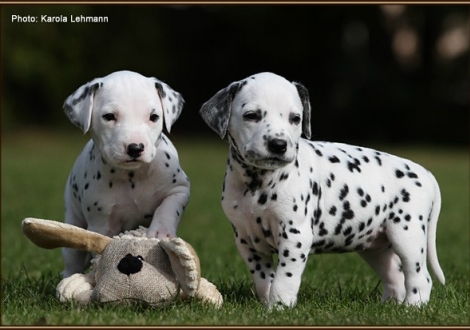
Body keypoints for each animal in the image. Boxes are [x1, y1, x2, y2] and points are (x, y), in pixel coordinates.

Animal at [61, 70, 190, 278]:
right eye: (109, 116)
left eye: (154, 117)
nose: (135, 147)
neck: (132, 176)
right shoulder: (102, 222)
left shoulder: (179, 189)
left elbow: (168, 206)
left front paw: (161, 231)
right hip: (73, 222)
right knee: (72, 259)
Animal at [200, 72, 446, 310]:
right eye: (251, 115)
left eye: (295, 118)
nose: (278, 145)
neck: (257, 183)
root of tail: (424, 172)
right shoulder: (247, 241)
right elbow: (264, 279)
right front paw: (267, 305)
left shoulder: (295, 236)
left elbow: (284, 279)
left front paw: (279, 307)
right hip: (376, 247)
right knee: (395, 276)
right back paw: (389, 307)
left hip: (407, 235)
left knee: (420, 278)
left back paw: (412, 308)